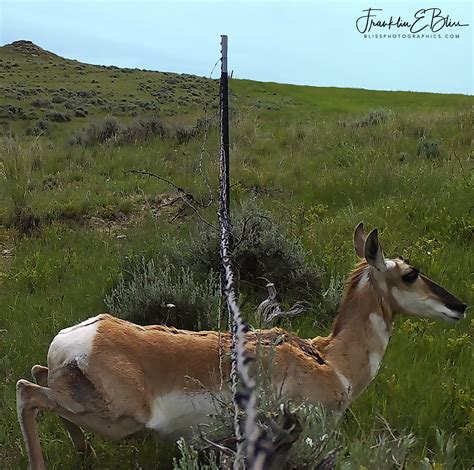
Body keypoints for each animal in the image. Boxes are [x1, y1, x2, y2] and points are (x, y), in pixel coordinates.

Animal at [16, 223, 464, 466]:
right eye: (410, 273)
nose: (460, 305)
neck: (329, 359)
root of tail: (82, 334)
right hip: (116, 417)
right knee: (27, 392)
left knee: (37, 378)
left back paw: (84, 454)